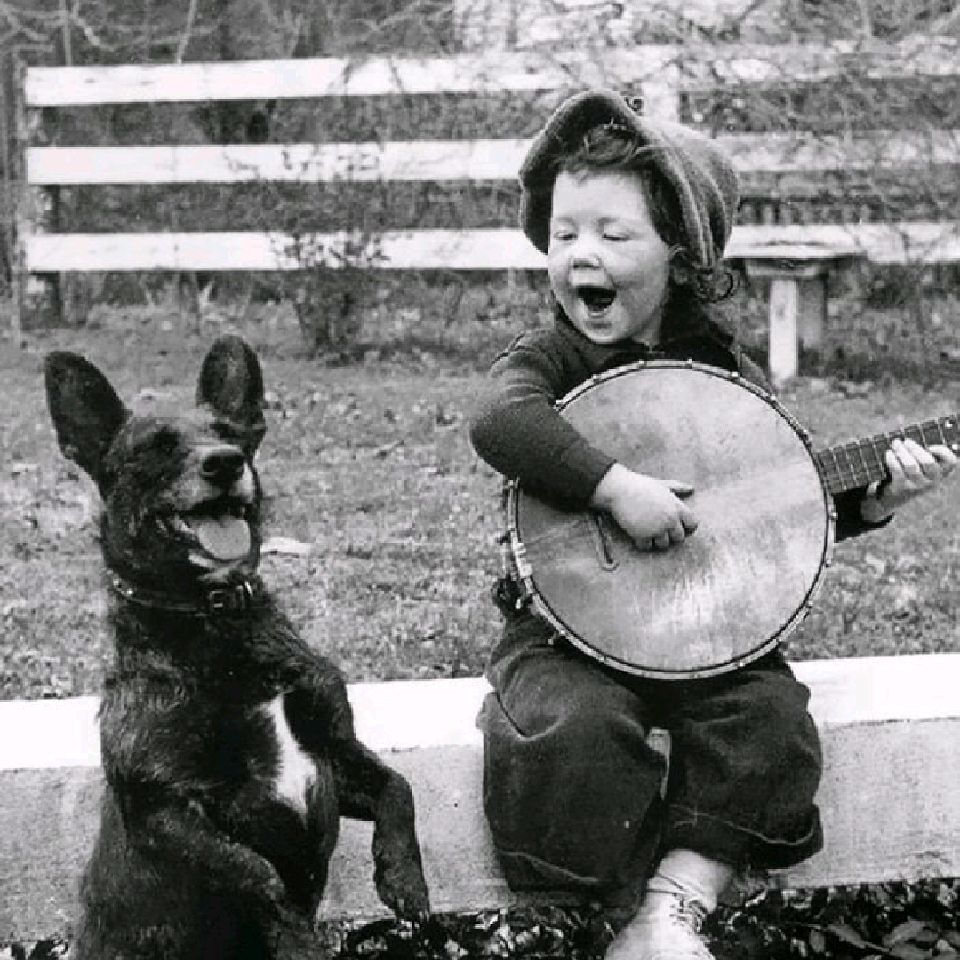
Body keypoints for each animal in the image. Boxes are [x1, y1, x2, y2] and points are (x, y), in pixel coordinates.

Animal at [44, 335, 430, 959]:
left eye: (233, 433)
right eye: (153, 448)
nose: (224, 462)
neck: (218, 620)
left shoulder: (335, 754)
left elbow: (398, 788)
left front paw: (404, 879)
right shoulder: (168, 812)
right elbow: (258, 875)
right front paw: (297, 935)